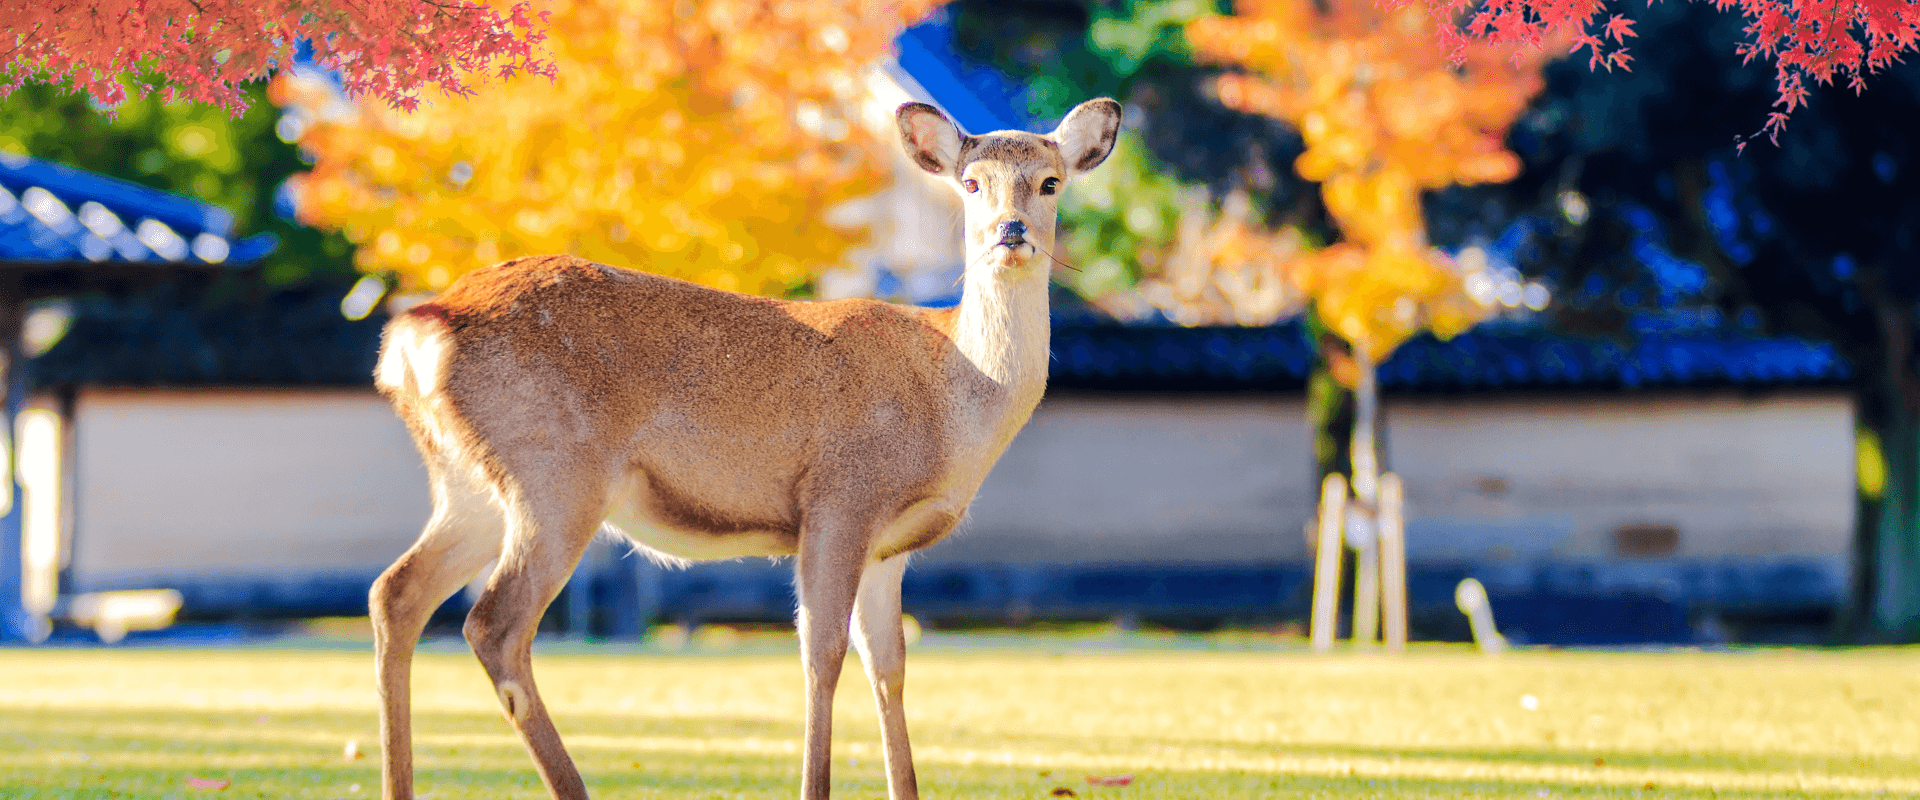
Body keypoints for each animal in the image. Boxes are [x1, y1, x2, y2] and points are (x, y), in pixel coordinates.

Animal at [364, 99, 1121, 798]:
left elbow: (890, 667)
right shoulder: (839, 498)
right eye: (970, 181)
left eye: (1049, 181)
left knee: (395, 592)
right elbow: (821, 653)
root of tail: (417, 333)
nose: (1012, 232)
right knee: (493, 623)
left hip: (471, 485)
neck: (955, 397)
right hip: (555, 473)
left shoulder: (889, 547)